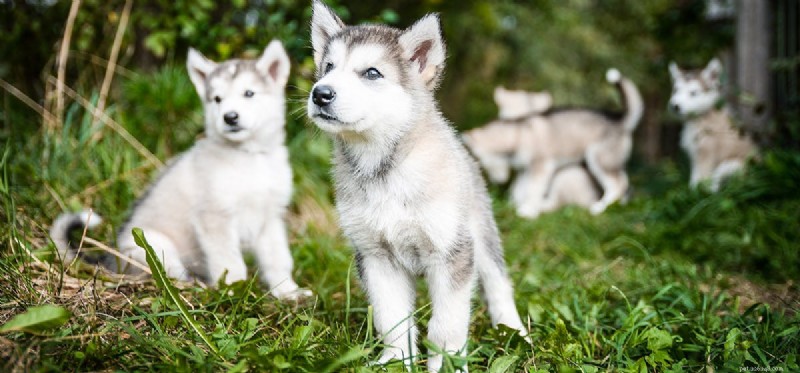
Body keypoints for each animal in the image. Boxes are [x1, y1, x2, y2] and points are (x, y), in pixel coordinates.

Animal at [49, 41, 312, 300]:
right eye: (217, 99)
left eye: (249, 93)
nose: (230, 117)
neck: (250, 156)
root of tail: (111, 261)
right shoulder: (215, 218)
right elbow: (230, 261)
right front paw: (234, 292)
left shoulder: (271, 219)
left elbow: (279, 259)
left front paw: (288, 291)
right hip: (155, 247)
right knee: (169, 275)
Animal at [308, 2, 532, 370]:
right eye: (328, 68)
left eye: (372, 73)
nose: (320, 93)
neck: (384, 170)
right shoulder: (375, 256)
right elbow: (392, 318)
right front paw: (396, 360)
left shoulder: (451, 255)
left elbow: (446, 324)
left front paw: (448, 364)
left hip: (481, 237)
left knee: (499, 285)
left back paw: (514, 333)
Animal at [462, 69, 644, 218]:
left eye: (481, 163)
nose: (497, 181)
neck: (519, 133)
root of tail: (618, 119)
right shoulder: (525, 169)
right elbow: (522, 188)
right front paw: (517, 204)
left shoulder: (541, 166)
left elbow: (532, 189)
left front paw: (527, 210)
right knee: (624, 184)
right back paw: (617, 205)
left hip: (598, 160)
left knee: (617, 185)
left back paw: (601, 207)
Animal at [668, 58, 756, 192]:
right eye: (675, 90)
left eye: (693, 93)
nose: (675, 106)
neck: (701, 116)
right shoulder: (695, 155)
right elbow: (695, 176)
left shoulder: (706, 151)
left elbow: (700, 177)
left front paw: (695, 194)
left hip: (732, 165)